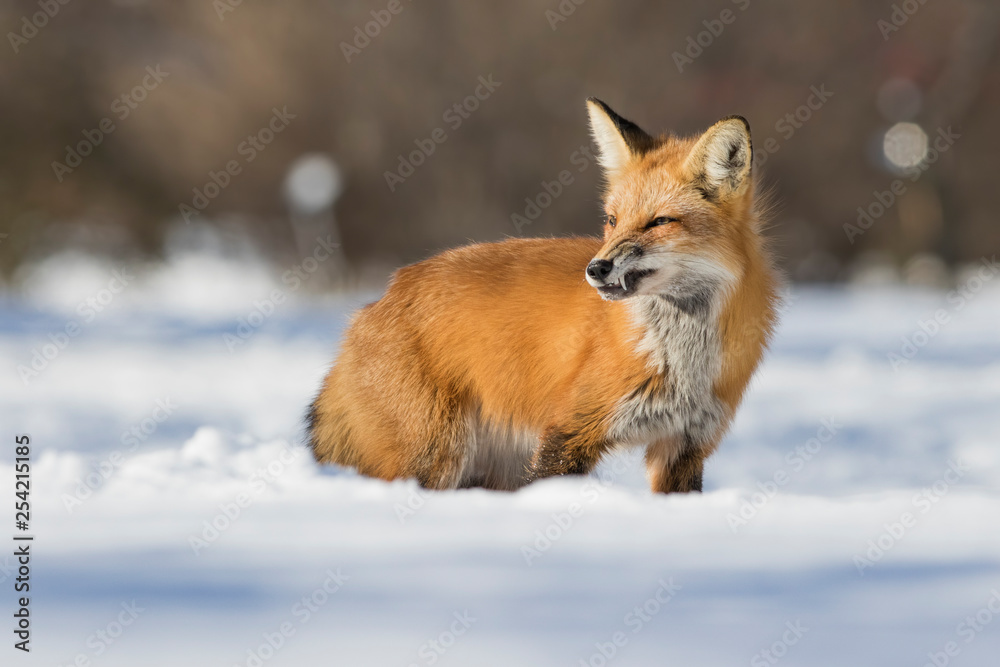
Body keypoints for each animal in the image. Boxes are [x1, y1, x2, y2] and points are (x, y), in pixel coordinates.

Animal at [308, 99, 776, 496]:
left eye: (660, 222)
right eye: (612, 220)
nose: (596, 269)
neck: (680, 356)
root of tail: (376, 302)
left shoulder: (686, 445)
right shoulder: (570, 430)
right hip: (432, 458)